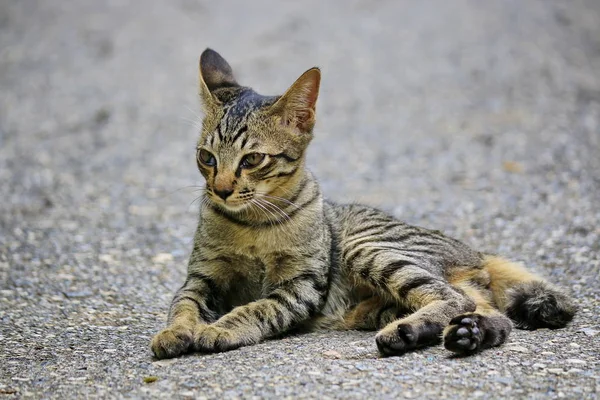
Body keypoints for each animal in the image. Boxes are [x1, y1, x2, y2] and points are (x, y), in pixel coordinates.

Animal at [150, 47, 576, 360]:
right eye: (206, 158)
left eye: (253, 160)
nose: (220, 190)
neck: (251, 224)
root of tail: (472, 250)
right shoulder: (202, 276)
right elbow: (183, 304)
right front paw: (175, 331)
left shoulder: (302, 286)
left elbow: (258, 308)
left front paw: (221, 328)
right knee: (493, 315)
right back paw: (458, 333)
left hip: (368, 248)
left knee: (452, 298)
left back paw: (419, 332)